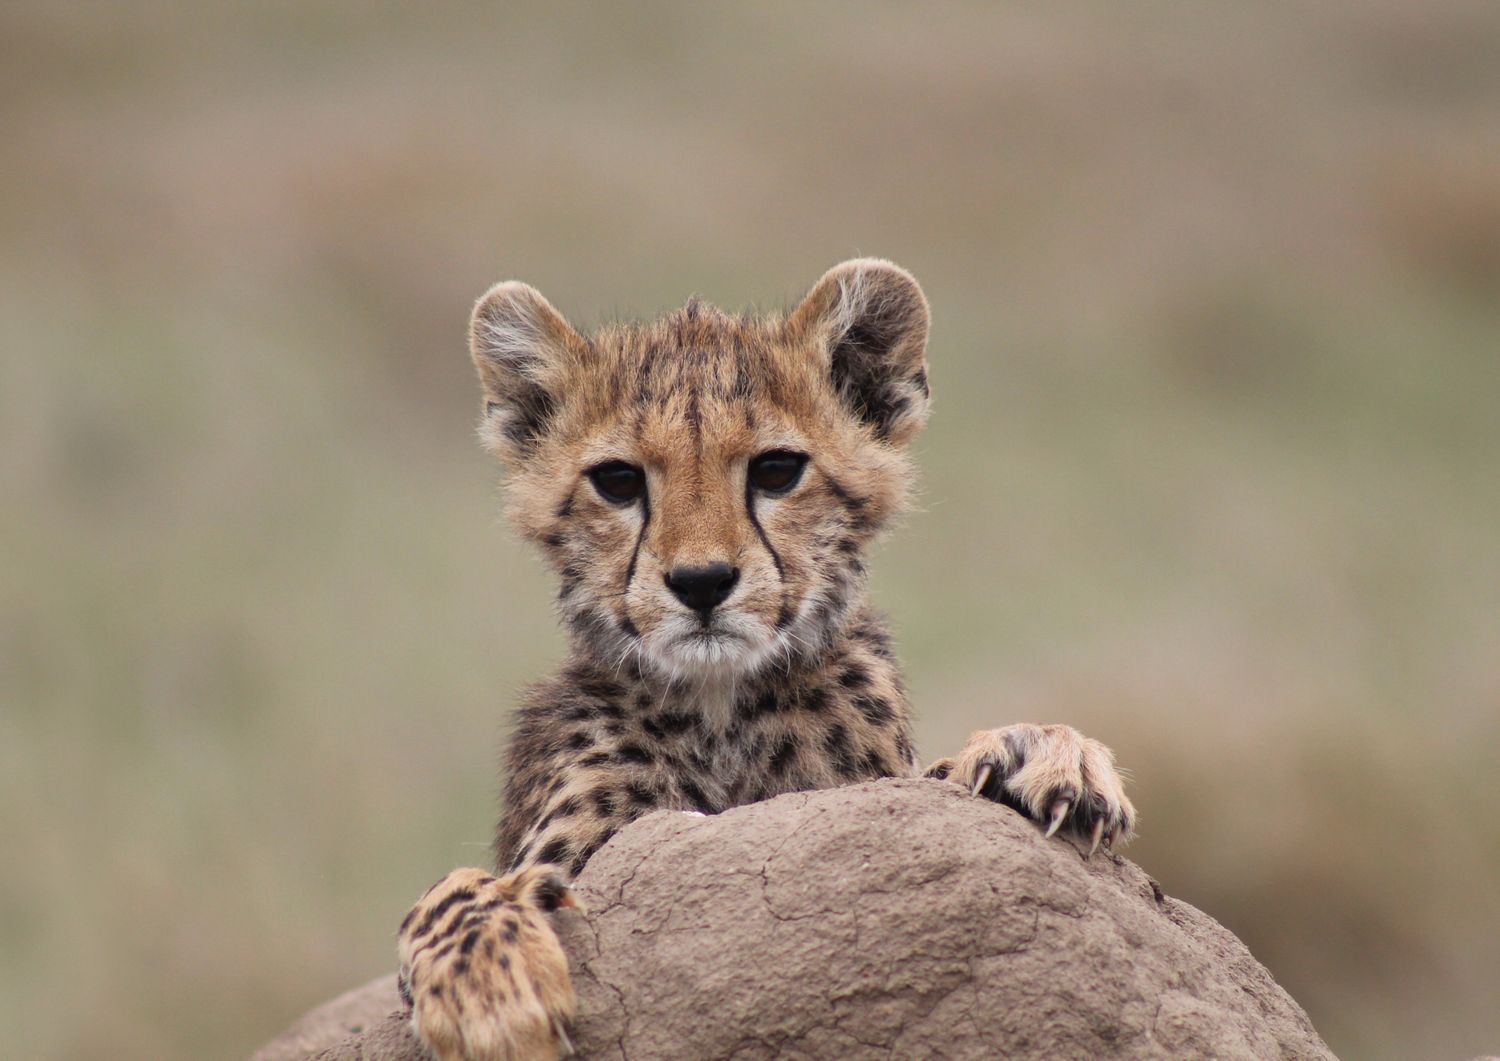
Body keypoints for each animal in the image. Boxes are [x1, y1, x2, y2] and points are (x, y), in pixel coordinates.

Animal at [395, 259, 1136, 1060]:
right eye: (618, 480)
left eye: (778, 470)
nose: (701, 581)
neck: (722, 706)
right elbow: (451, 887)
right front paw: (489, 989)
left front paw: (1039, 753)